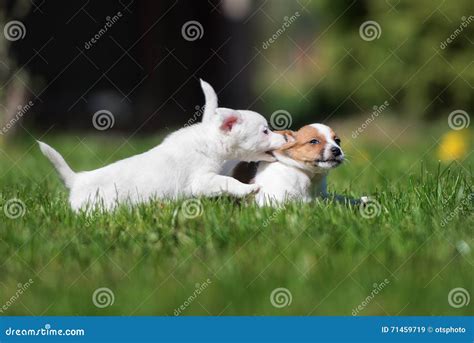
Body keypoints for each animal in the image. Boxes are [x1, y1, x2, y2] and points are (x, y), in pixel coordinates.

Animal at [39, 80, 286, 211]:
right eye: (265, 131)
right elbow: (228, 182)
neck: (209, 141)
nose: (285, 139)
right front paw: (248, 189)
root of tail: (76, 180)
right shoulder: (202, 181)